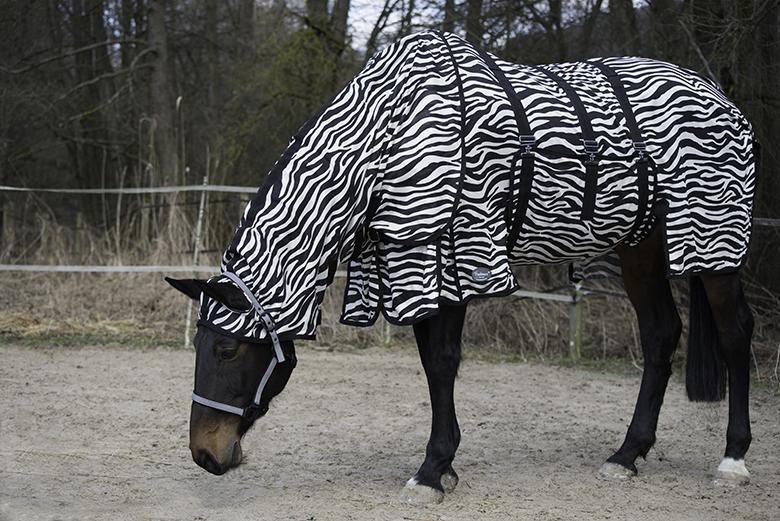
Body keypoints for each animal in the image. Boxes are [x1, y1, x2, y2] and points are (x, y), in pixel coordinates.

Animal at [163, 30, 756, 502]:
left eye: (227, 348)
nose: (205, 454)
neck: (390, 130)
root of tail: (721, 99)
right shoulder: (413, 263)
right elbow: (431, 365)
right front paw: (442, 466)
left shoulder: (452, 255)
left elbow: (444, 363)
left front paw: (431, 470)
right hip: (641, 250)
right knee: (660, 334)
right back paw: (627, 454)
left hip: (715, 244)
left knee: (734, 334)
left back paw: (732, 459)